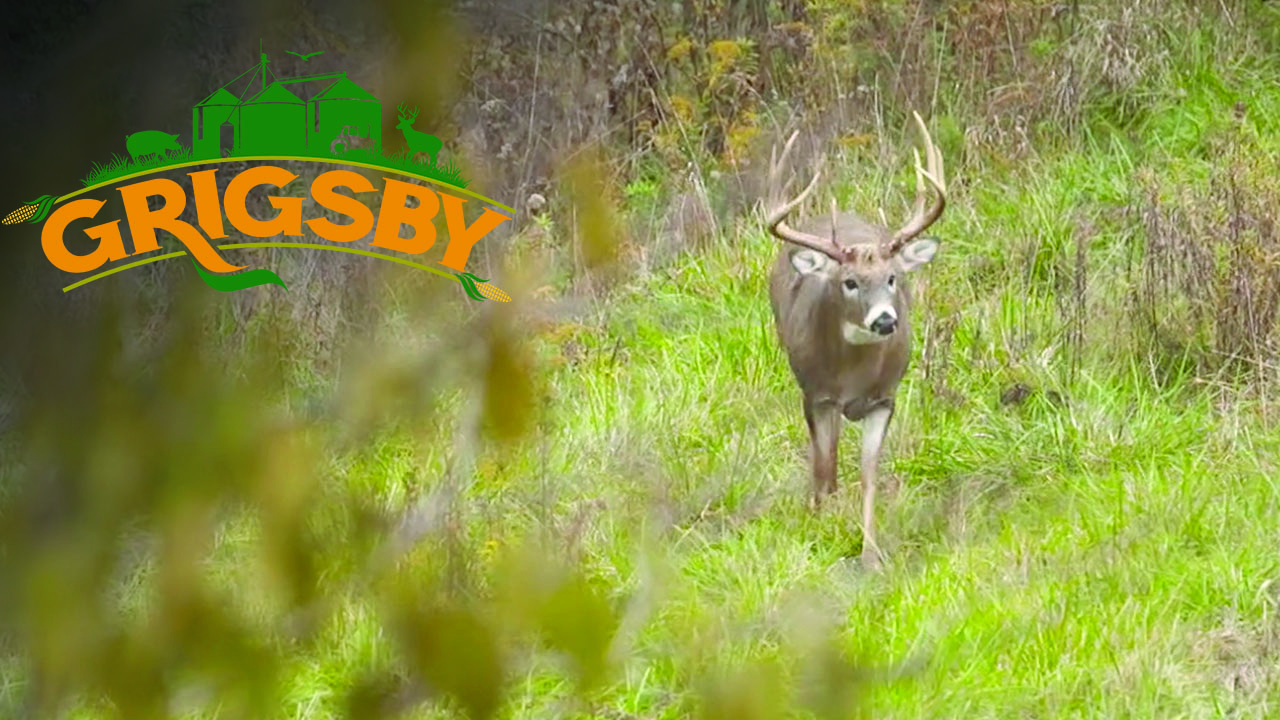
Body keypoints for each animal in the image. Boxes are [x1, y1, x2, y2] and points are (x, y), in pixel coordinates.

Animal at [765, 112, 946, 570]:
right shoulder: (818, 396)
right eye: (849, 282)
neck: (852, 377)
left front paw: (871, 554)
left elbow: (868, 474)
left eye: (892, 277)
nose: (885, 320)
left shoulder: (884, 399)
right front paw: (821, 533)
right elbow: (825, 469)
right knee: (819, 462)